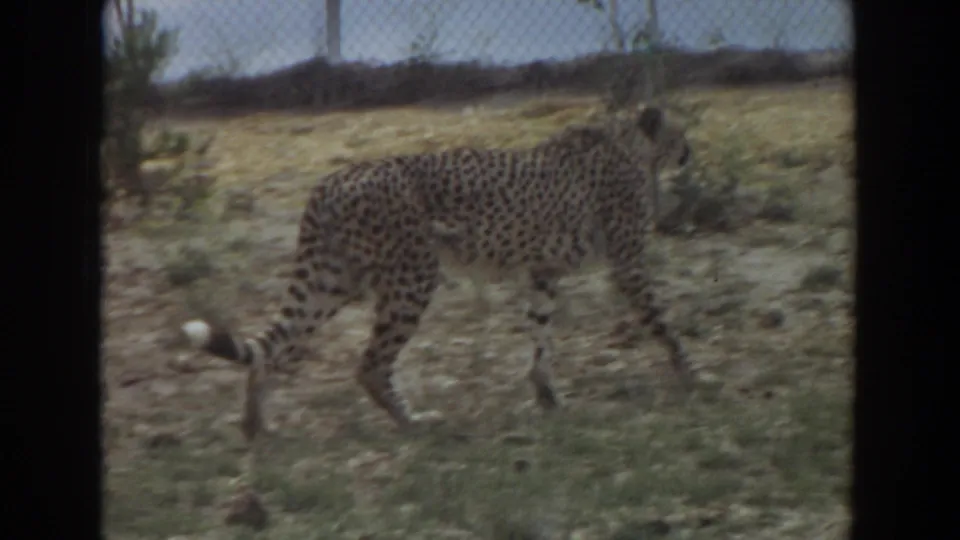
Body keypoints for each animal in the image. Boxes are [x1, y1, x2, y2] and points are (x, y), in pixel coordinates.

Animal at [181, 105, 696, 430]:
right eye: (681, 135)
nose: (689, 153)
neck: (629, 143)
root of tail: (333, 178)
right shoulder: (627, 264)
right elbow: (661, 322)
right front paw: (690, 372)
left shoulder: (542, 272)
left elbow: (541, 335)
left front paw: (547, 395)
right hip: (412, 278)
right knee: (370, 364)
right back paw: (412, 421)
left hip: (333, 281)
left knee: (272, 348)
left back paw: (254, 424)